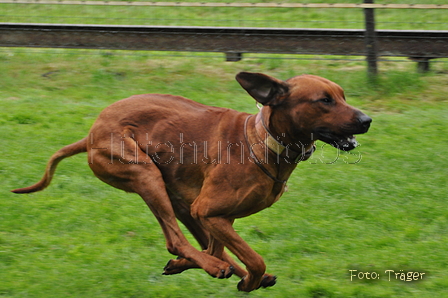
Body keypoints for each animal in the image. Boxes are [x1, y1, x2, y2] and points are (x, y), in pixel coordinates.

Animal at [13, 71, 372, 292]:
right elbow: (253, 258)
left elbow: (221, 248)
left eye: (342, 96)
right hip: (145, 174)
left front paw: (214, 269)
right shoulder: (209, 211)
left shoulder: (216, 216)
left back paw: (201, 265)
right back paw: (211, 267)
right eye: (324, 100)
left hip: (177, 196)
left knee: (197, 243)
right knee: (175, 239)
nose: (367, 120)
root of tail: (91, 133)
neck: (262, 141)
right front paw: (246, 279)